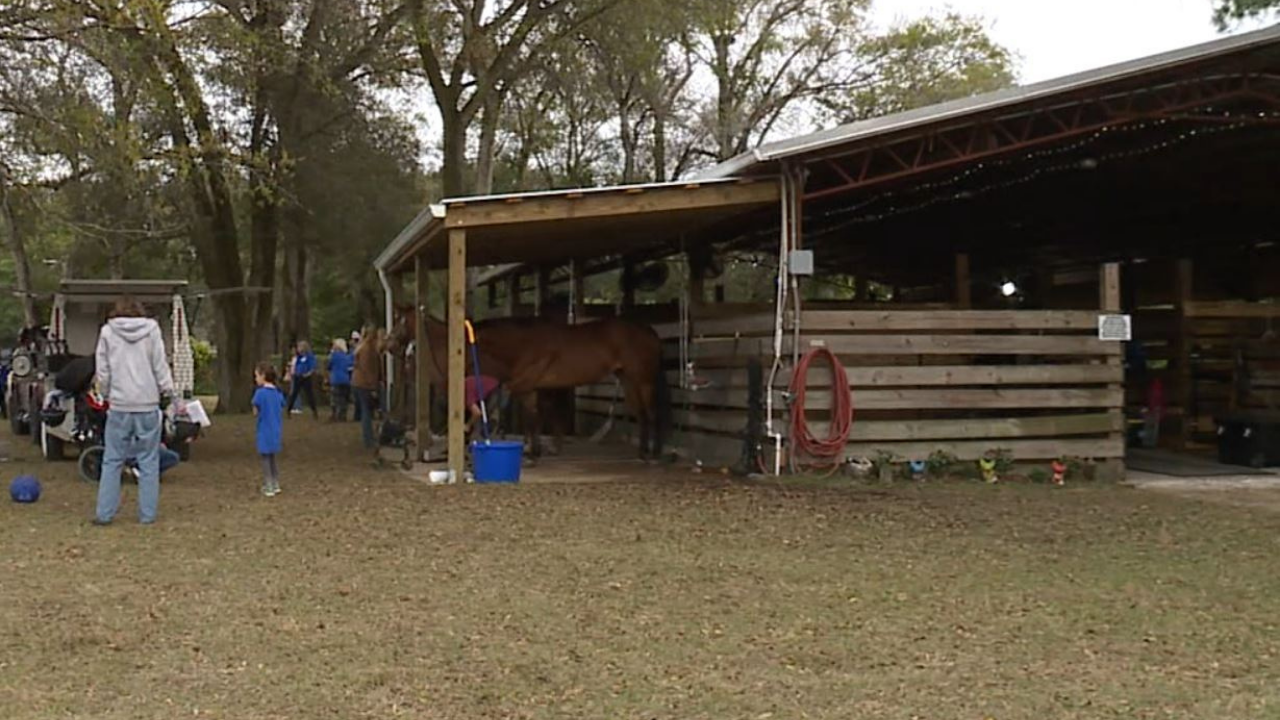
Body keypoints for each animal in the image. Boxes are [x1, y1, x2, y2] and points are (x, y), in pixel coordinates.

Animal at [386, 304, 670, 456]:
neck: (523, 344)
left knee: (653, 413)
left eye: (399, 322)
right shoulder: (529, 389)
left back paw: (654, 454)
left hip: (643, 381)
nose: (388, 345)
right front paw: (533, 452)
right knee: (642, 415)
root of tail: (650, 332)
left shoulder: (521, 385)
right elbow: (532, 418)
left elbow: (527, 417)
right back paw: (642, 452)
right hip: (629, 381)